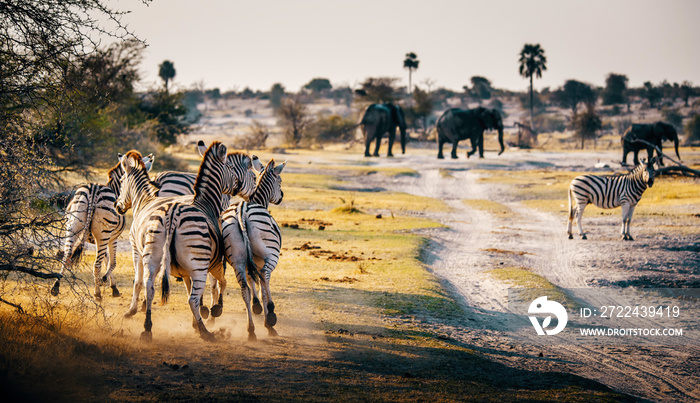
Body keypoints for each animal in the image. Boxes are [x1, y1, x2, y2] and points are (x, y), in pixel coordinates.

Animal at [51, 155, 154, 300]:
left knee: (67, 256)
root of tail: (94, 189)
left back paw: (55, 286)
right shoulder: (112, 238)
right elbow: (112, 262)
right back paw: (97, 294)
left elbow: (106, 259)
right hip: (103, 234)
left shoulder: (102, 239)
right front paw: (108, 283)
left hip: (73, 227)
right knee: (96, 264)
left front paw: (106, 283)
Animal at [116, 142, 256, 340]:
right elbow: (219, 283)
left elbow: (142, 282)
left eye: (120, 183)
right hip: (197, 264)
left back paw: (148, 328)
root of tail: (172, 214)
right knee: (192, 298)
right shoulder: (211, 263)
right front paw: (213, 311)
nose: (117, 206)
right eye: (230, 168)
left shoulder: (145, 252)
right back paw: (206, 331)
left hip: (154, 256)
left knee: (151, 287)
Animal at [223, 158, 286, 340]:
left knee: (244, 289)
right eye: (280, 181)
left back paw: (251, 330)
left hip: (236, 259)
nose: (281, 196)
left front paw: (256, 306)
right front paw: (266, 316)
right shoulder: (258, 261)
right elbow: (263, 287)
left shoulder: (248, 262)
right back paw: (271, 316)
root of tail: (242, 211)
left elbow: (252, 283)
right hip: (270, 255)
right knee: (265, 275)